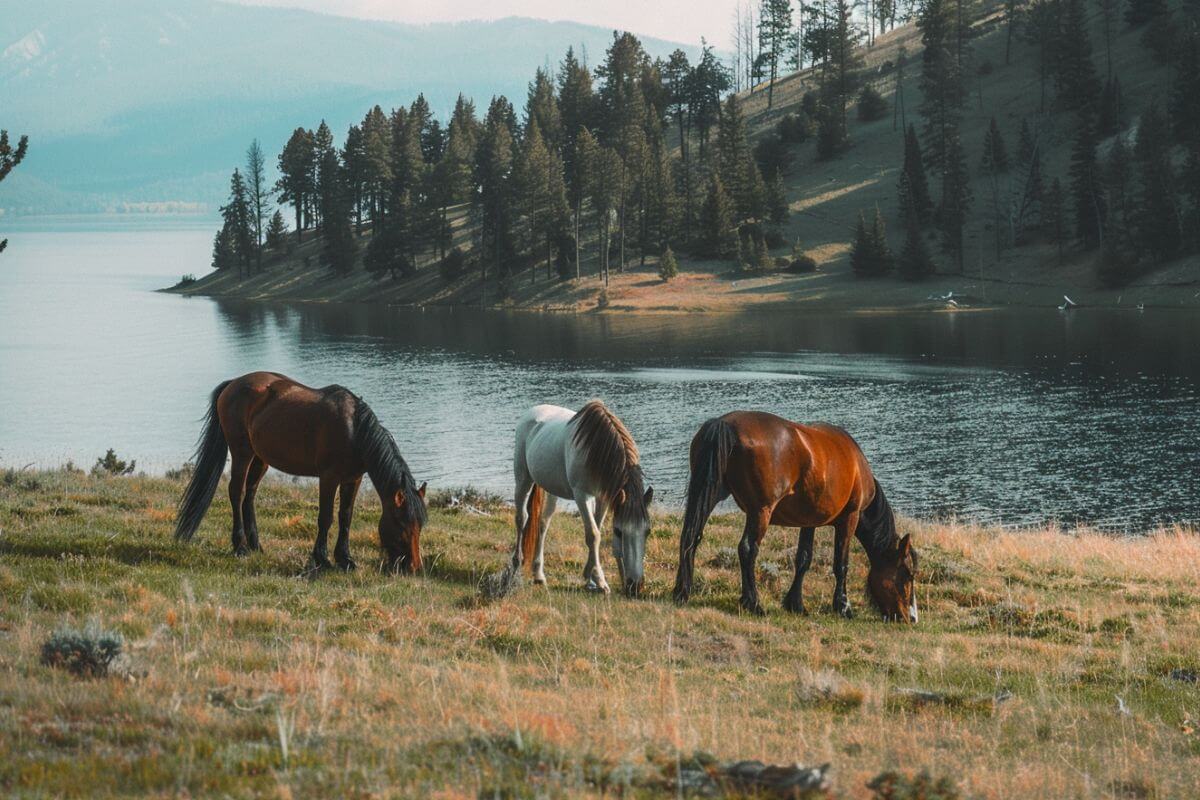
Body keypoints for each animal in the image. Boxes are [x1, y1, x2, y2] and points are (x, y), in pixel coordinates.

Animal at [173, 372, 427, 572]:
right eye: (401, 523)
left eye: (420, 525)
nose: (414, 566)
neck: (354, 431)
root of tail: (232, 384)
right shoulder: (329, 478)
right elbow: (326, 517)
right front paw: (322, 559)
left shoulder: (353, 479)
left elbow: (345, 517)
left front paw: (345, 559)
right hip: (241, 452)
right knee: (236, 492)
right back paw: (240, 547)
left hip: (260, 459)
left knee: (250, 495)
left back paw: (256, 545)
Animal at [510, 401, 654, 597]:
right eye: (618, 531)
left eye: (647, 531)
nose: (635, 586)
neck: (597, 450)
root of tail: (531, 413)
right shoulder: (581, 495)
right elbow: (593, 535)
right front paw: (600, 581)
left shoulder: (602, 497)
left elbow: (597, 529)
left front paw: (590, 577)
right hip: (523, 479)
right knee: (521, 518)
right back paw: (516, 563)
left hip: (551, 488)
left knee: (543, 522)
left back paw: (539, 574)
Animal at [672, 411, 918, 622]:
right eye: (907, 574)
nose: (911, 618)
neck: (857, 466)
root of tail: (724, 424)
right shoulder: (850, 517)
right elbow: (841, 564)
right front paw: (843, 607)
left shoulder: (809, 521)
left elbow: (804, 559)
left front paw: (796, 604)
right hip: (760, 511)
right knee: (747, 549)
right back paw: (753, 603)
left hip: (708, 494)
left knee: (690, 536)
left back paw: (682, 591)